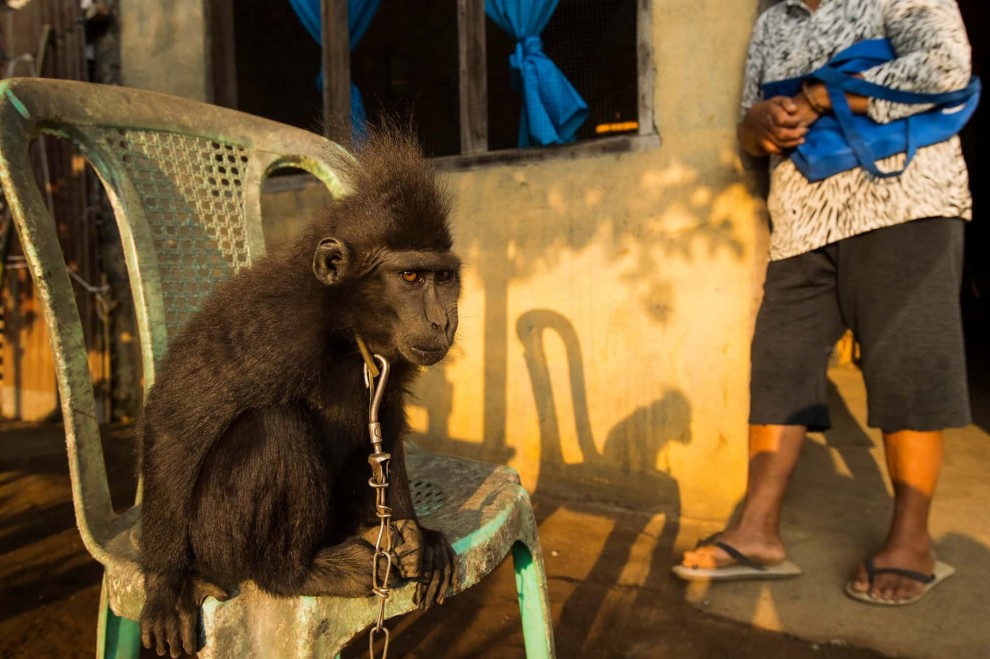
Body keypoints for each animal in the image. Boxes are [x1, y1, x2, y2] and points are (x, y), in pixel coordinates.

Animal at [139, 126, 462, 656]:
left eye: (444, 277)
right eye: (411, 277)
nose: (442, 321)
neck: (346, 329)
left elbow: (385, 423)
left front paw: (422, 537)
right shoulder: (278, 321)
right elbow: (174, 419)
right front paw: (164, 587)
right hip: (212, 539)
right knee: (275, 427)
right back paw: (297, 572)